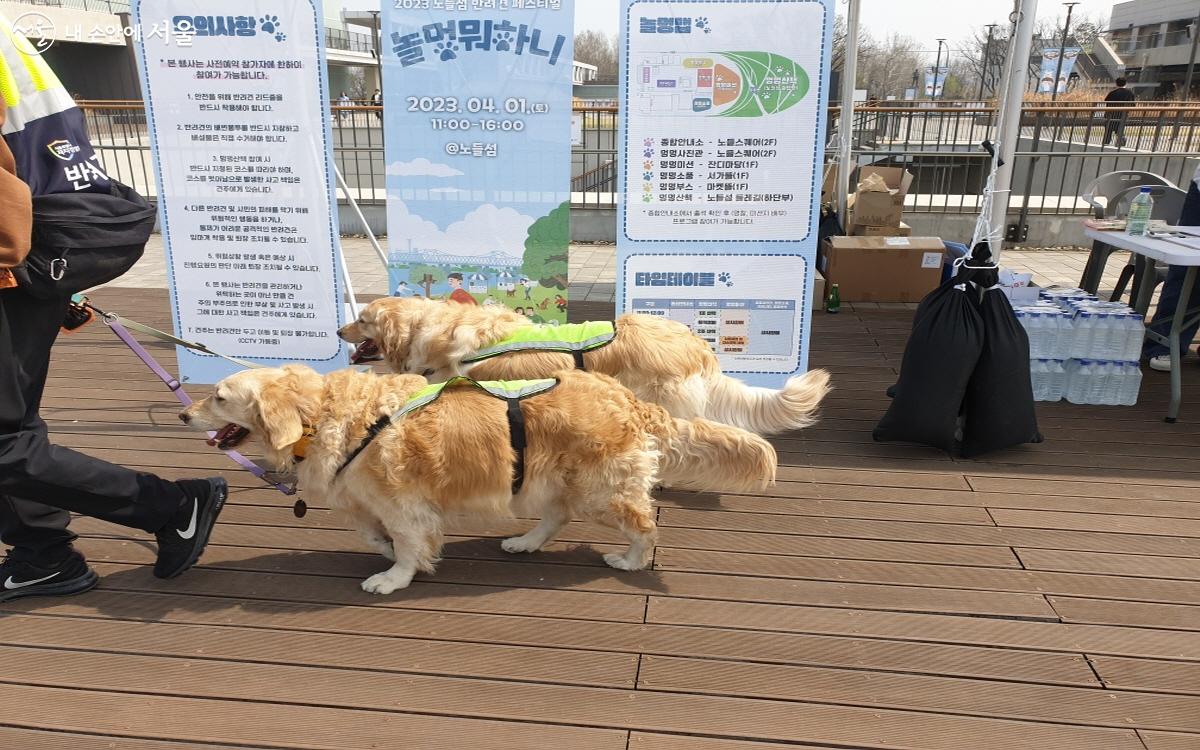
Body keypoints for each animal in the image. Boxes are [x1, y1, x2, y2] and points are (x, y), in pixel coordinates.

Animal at [180, 364, 777, 592]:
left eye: (220, 397)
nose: (183, 414)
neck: (325, 414)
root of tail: (628, 398)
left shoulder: (405, 502)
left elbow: (406, 544)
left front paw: (394, 577)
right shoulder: (364, 498)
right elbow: (372, 533)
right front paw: (383, 552)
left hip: (601, 488)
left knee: (645, 523)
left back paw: (630, 560)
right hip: (544, 479)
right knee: (555, 519)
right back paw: (524, 542)